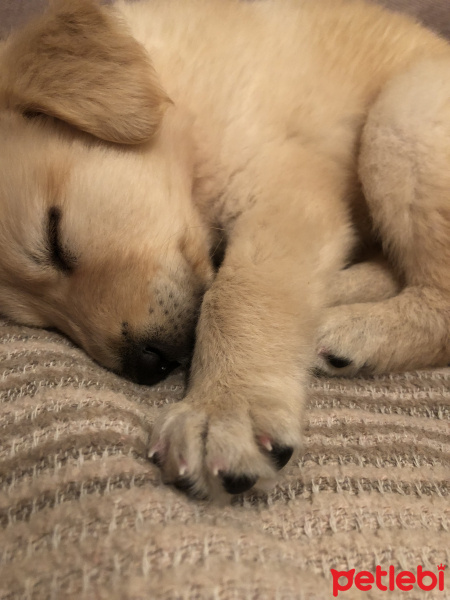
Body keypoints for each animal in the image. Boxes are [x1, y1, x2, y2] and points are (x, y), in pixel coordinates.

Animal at [0, 0, 450, 496]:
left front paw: (222, 408)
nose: (146, 365)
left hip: (403, 112)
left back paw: (357, 331)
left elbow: (239, 296)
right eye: (40, 320)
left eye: (54, 237)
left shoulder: (283, 191)